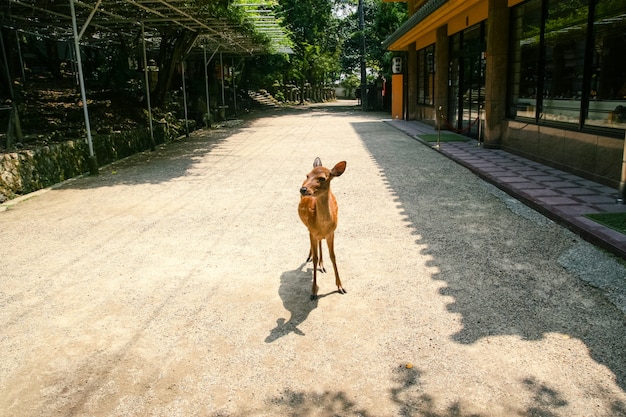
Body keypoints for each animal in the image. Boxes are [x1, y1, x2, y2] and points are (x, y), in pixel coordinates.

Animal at [298, 157, 346, 300]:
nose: (303, 189)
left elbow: (333, 256)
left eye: (322, 178)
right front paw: (313, 292)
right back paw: (311, 257)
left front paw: (341, 287)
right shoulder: (312, 231)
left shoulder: (332, 233)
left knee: (320, 242)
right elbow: (314, 259)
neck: (322, 225)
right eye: (307, 175)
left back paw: (322, 264)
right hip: (308, 229)